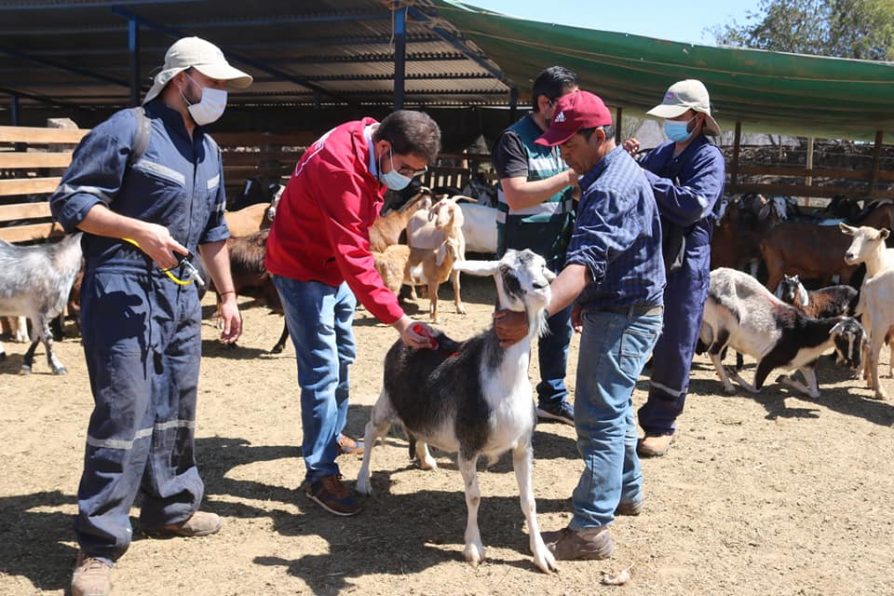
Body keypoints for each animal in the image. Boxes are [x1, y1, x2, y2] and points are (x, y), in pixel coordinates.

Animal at [0, 232, 83, 372]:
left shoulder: (40, 313)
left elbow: (37, 336)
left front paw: (27, 363)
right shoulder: (40, 309)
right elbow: (47, 338)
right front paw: (57, 367)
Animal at [356, 248, 560, 572]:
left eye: (542, 264)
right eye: (505, 270)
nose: (542, 288)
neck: (504, 383)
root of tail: (413, 332)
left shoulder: (523, 445)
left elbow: (529, 500)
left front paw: (542, 556)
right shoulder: (468, 445)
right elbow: (474, 496)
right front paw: (474, 548)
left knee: (418, 429)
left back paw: (426, 459)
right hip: (386, 403)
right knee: (369, 432)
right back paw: (363, 482)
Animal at [704, 268, 864, 398]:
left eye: (860, 339)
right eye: (845, 337)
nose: (855, 362)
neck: (804, 334)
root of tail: (713, 276)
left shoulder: (807, 364)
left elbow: (815, 393)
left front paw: (785, 378)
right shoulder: (767, 359)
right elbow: (755, 388)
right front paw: (733, 374)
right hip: (725, 327)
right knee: (714, 352)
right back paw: (729, 386)